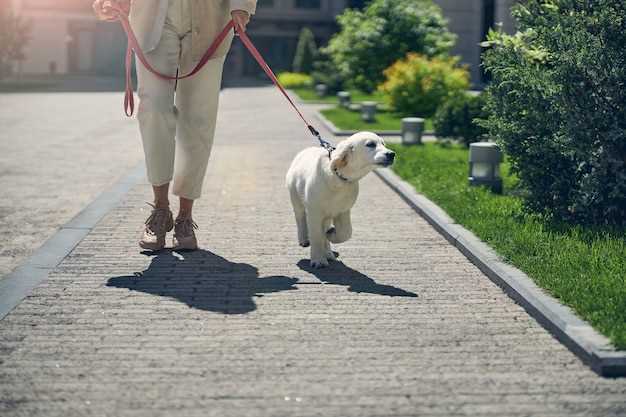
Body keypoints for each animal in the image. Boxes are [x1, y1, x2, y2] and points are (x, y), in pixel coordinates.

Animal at [284, 131, 392, 266]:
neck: (339, 178)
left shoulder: (343, 210)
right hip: (295, 196)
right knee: (300, 217)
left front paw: (331, 235)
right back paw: (304, 239)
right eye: (370, 144)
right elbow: (316, 236)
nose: (392, 154)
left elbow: (346, 232)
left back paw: (328, 253)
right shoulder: (314, 211)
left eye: (384, 144)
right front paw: (318, 260)